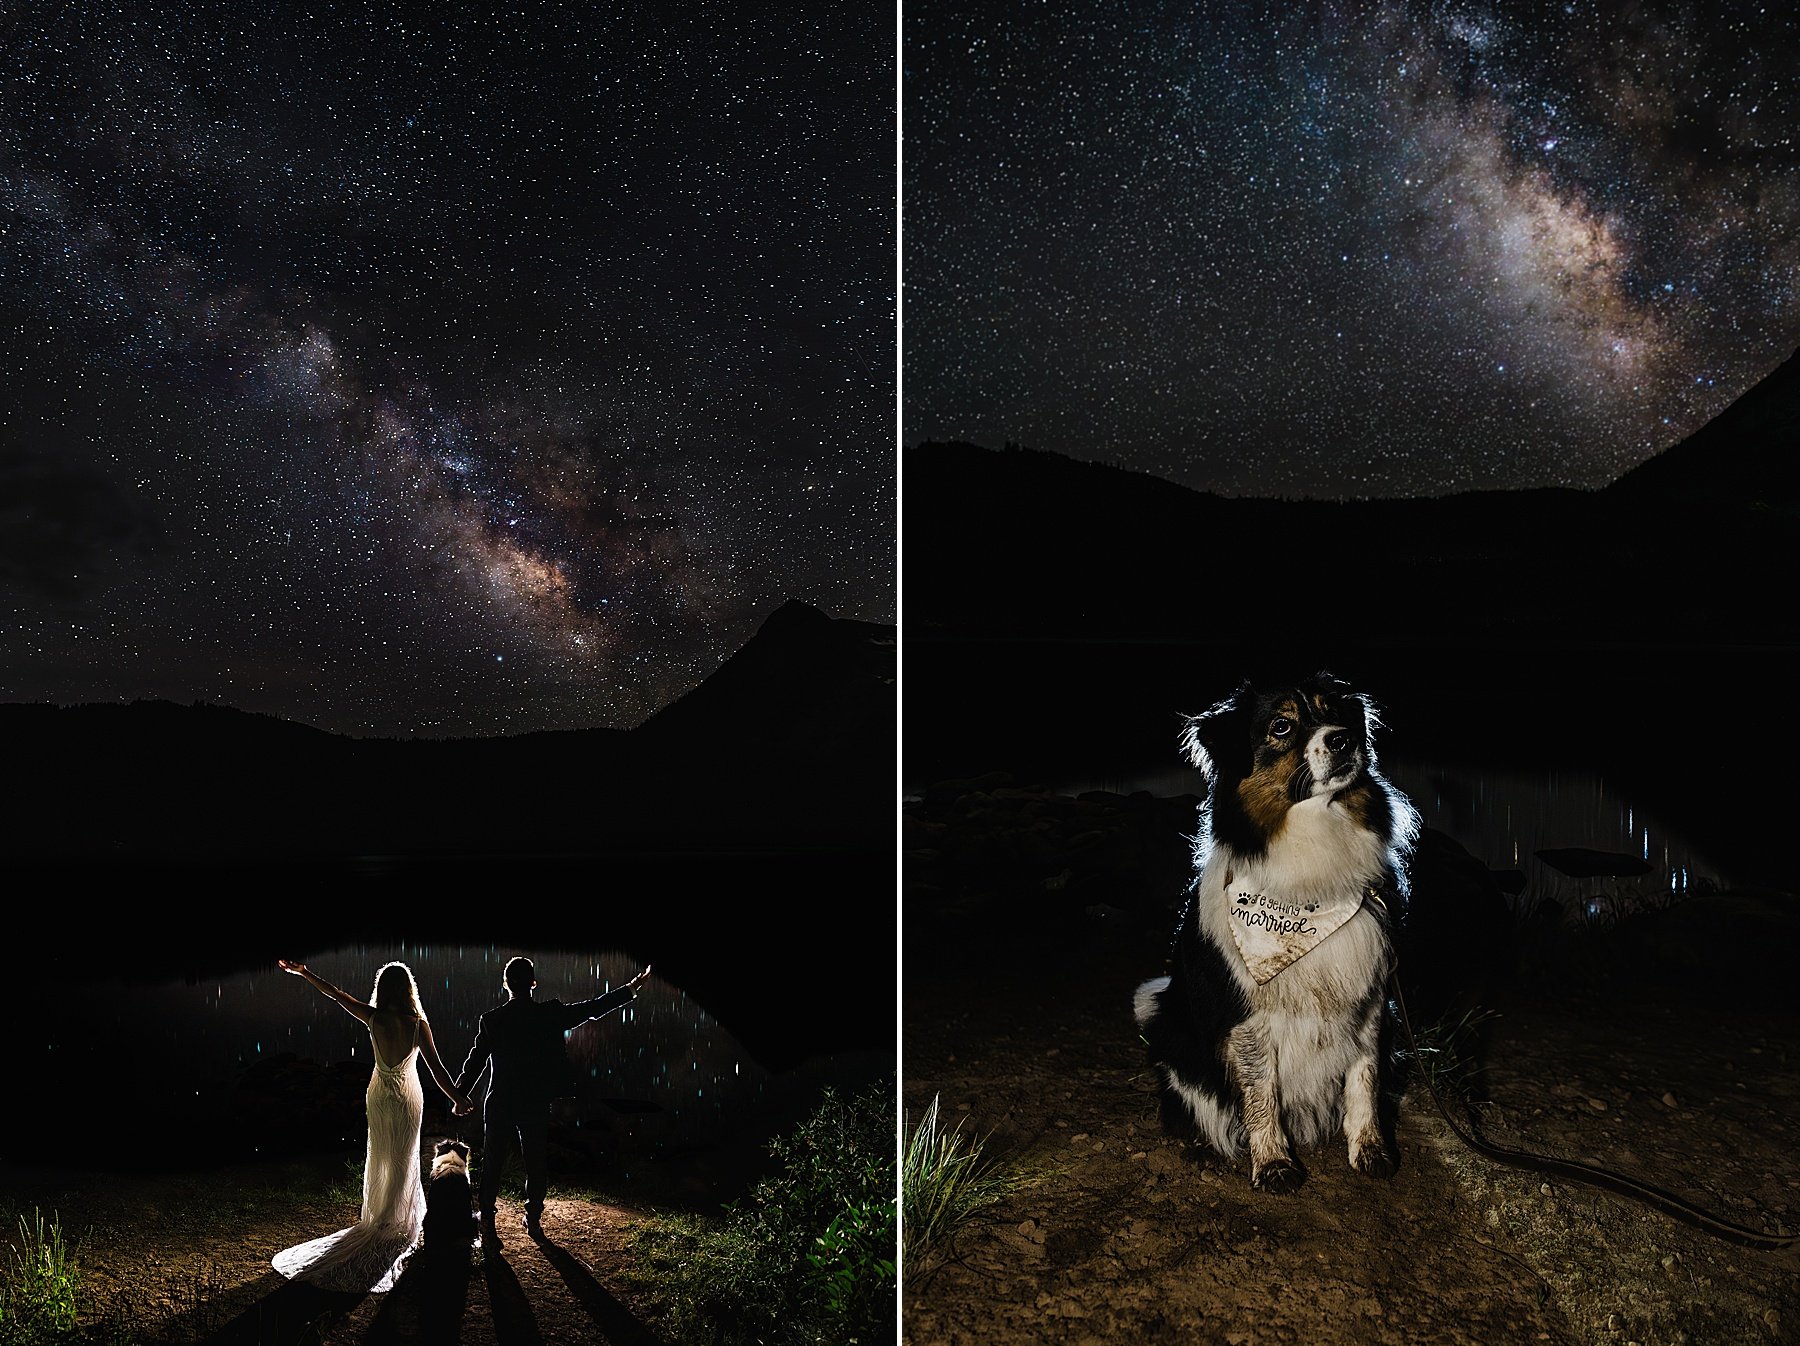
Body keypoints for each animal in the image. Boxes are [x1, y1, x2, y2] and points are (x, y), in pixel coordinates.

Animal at [1137, 669, 1418, 1187]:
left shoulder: (1369, 997)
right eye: (1282, 727)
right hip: (1166, 1024)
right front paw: (1273, 1163)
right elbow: (1260, 1092)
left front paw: (1370, 1150)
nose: (1344, 739)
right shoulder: (1247, 1014)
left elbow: (1364, 1079)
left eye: (1334, 712)